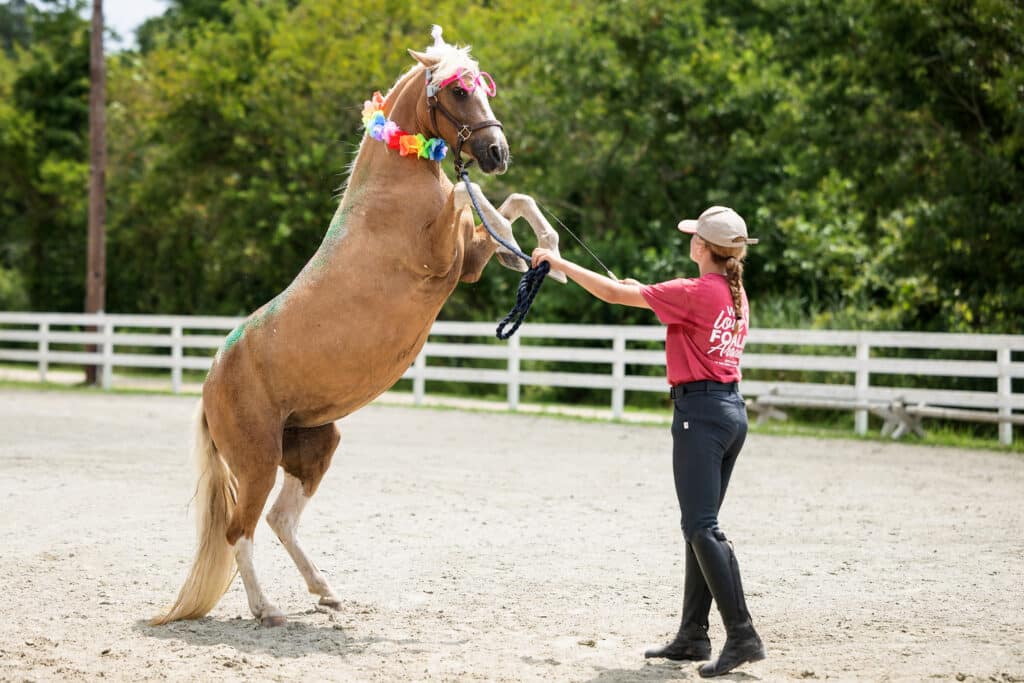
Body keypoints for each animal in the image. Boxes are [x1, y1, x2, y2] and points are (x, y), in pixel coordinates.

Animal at [152, 28, 565, 630]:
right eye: (458, 90)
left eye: (482, 86)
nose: (497, 153)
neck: (392, 188)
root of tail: (209, 386)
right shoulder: (442, 258)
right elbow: (466, 196)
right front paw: (522, 243)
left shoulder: (463, 263)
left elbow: (514, 201)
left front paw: (536, 251)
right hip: (255, 463)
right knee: (239, 531)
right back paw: (267, 609)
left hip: (314, 446)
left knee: (279, 520)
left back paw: (325, 592)